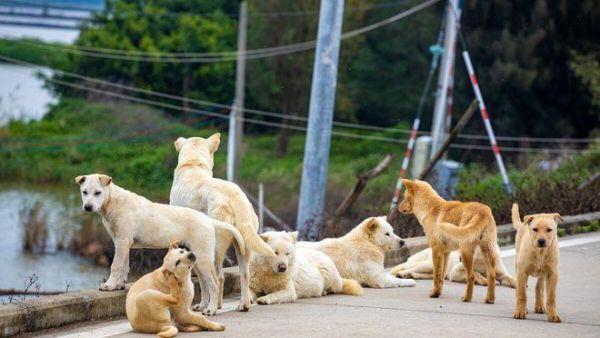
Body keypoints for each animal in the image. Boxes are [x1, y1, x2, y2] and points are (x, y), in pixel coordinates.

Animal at [76, 174, 245, 316]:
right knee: (204, 283)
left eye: (98, 192)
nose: (88, 207)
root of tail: (208, 220)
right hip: (195, 258)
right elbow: (124, 265)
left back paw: (211, 310)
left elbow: (116, 265)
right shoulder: (123, 242)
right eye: (84, 192)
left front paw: (109, 285)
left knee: (214, 283)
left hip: (203, 257)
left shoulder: (122, 240)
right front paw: (119, 285)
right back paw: (202, 306)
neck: (113, 201)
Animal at [170, 133, 276, 312]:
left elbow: (203, 281)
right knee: (244, 274)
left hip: (216, 247)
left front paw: (203, 304)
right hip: (243, 246)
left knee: (218, 277)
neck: (193, 163)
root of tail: (236, 196)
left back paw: (212, 308)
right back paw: (243, 304)